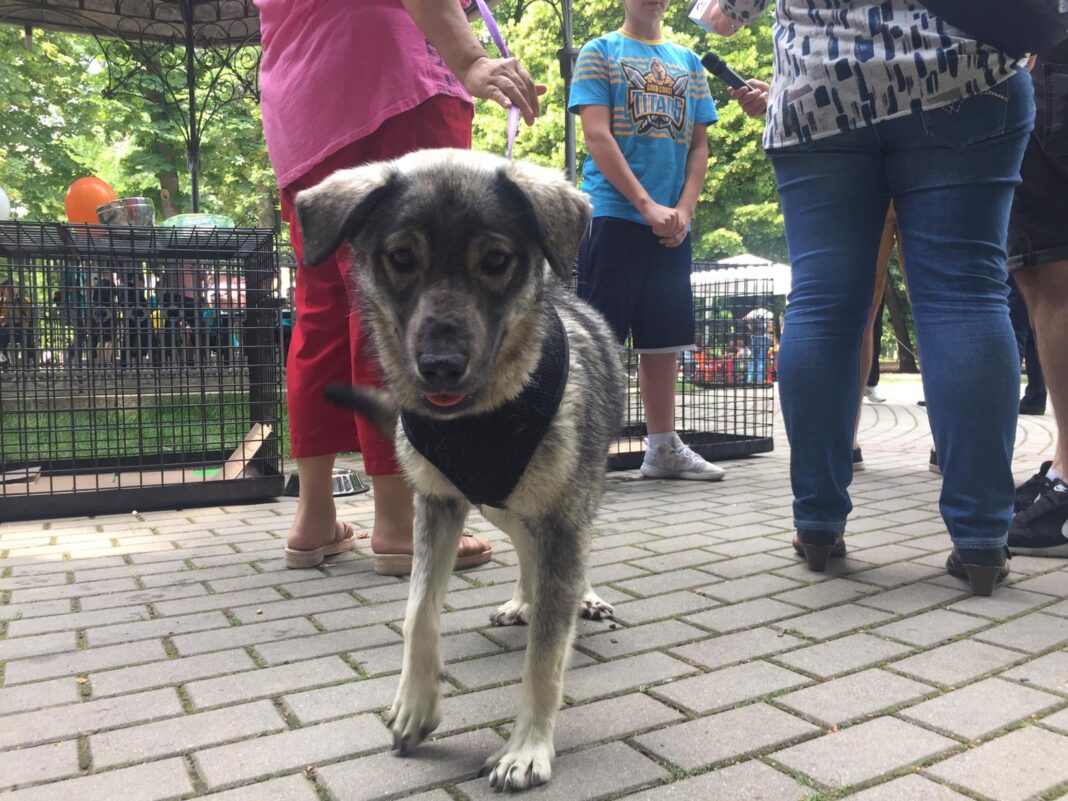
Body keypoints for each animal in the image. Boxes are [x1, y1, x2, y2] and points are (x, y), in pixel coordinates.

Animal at [294, 149, 623, 790]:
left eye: (495, 261)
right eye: (401, 258)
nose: (440, 366)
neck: (485, 413)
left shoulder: (562, 515)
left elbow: (546, 654)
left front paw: (528, 746)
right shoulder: (438, 504)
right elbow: (418, 610)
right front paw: (415, 705)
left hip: (564, 498)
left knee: (564, 559)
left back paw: (581, 597)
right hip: (497, 502)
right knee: (524, 548)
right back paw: (524, 598)